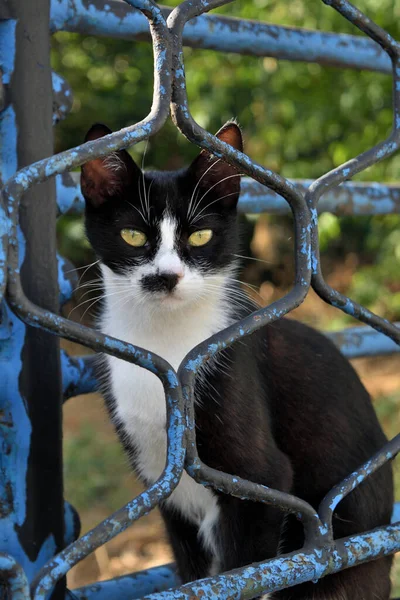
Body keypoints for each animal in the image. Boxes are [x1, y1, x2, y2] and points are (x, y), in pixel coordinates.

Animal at [80, 123, 394, 600]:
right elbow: (194, 574)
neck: (166, 341)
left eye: (200, 236)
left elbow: (240, 575)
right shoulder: (165, 487)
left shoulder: (261, 480)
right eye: (133, 235)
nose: (166, 277)